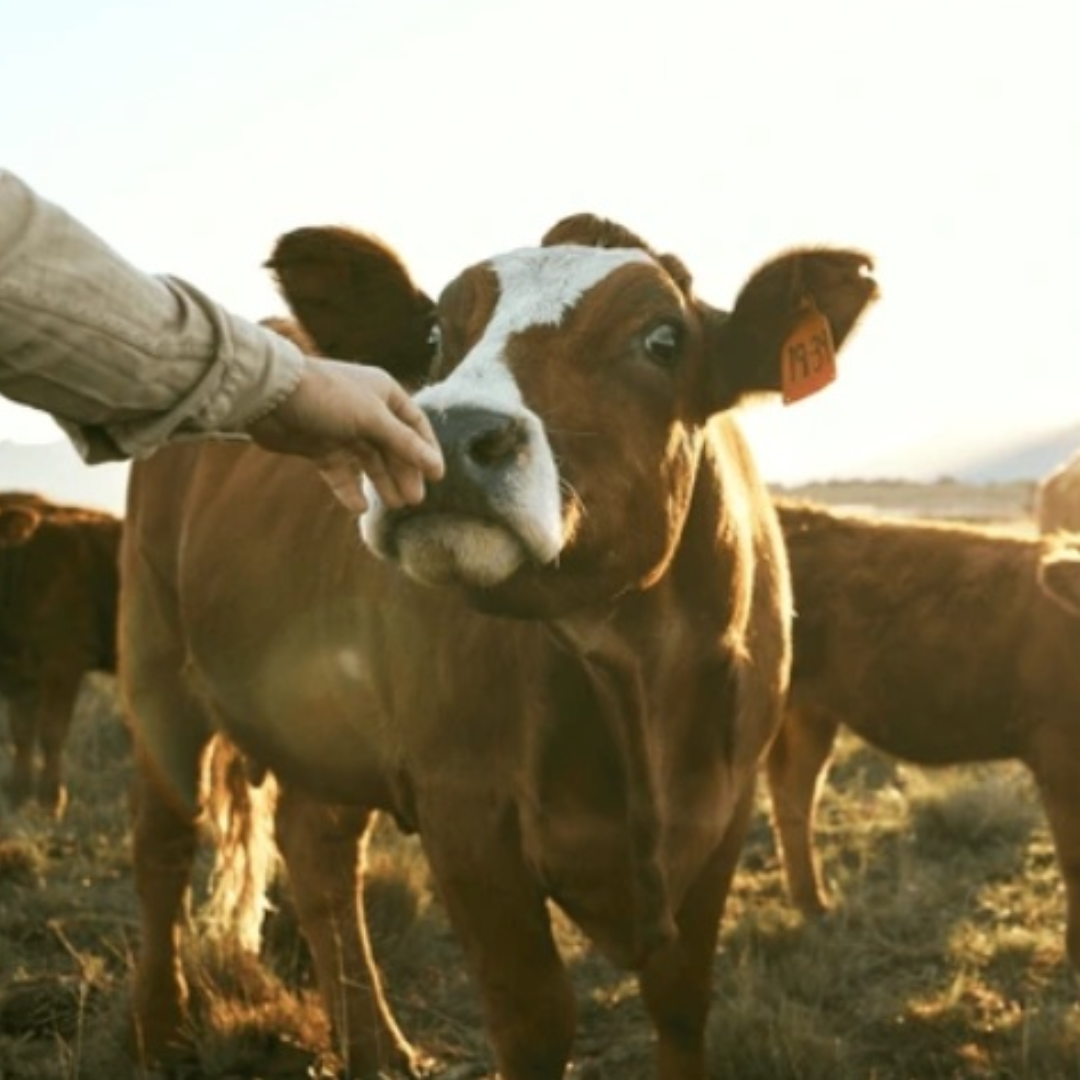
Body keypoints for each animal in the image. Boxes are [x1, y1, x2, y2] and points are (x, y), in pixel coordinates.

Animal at [0, 491, 121, 816]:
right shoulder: (22, 672)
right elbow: (22, 734)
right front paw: (18, 798)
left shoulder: (63, 664)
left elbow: (51, 733)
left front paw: (51, 803)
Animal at [120, 216, 876, 1079]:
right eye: (434, 335)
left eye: (662, 339)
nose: (446, 433)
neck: (634, 677)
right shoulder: (467, 813)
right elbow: (534, 1020)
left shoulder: (724, 804)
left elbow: (682, 1000)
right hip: (155, 662)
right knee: (163, 842)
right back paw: (159, 1028)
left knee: (317, 853)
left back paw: (377, 1052)